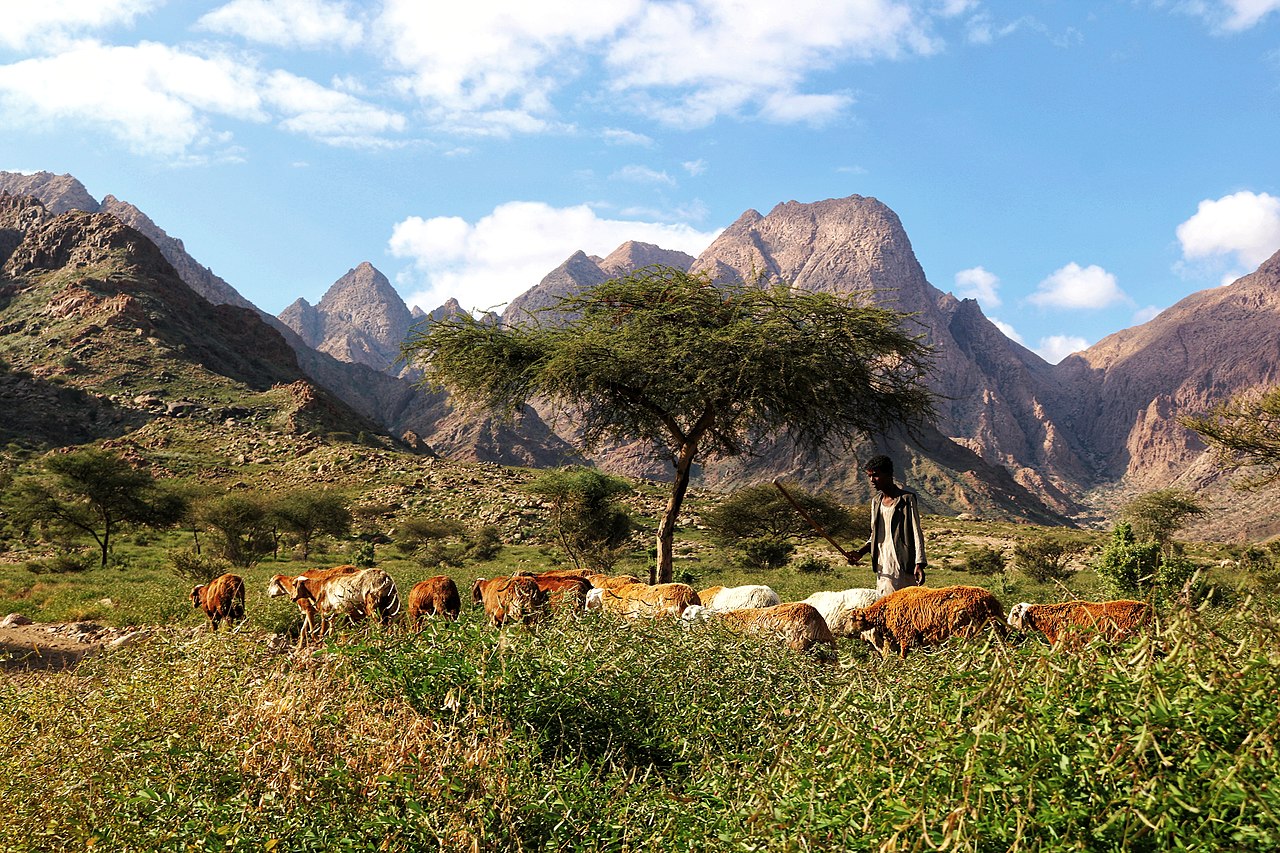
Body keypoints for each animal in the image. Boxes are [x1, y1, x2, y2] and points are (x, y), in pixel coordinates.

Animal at [839, 581, 1008, 653]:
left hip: (966, 629)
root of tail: (992, 601)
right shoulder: (917, 635)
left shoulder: (905, 634)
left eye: (851, 620)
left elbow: (903, 654)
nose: (845, 634)